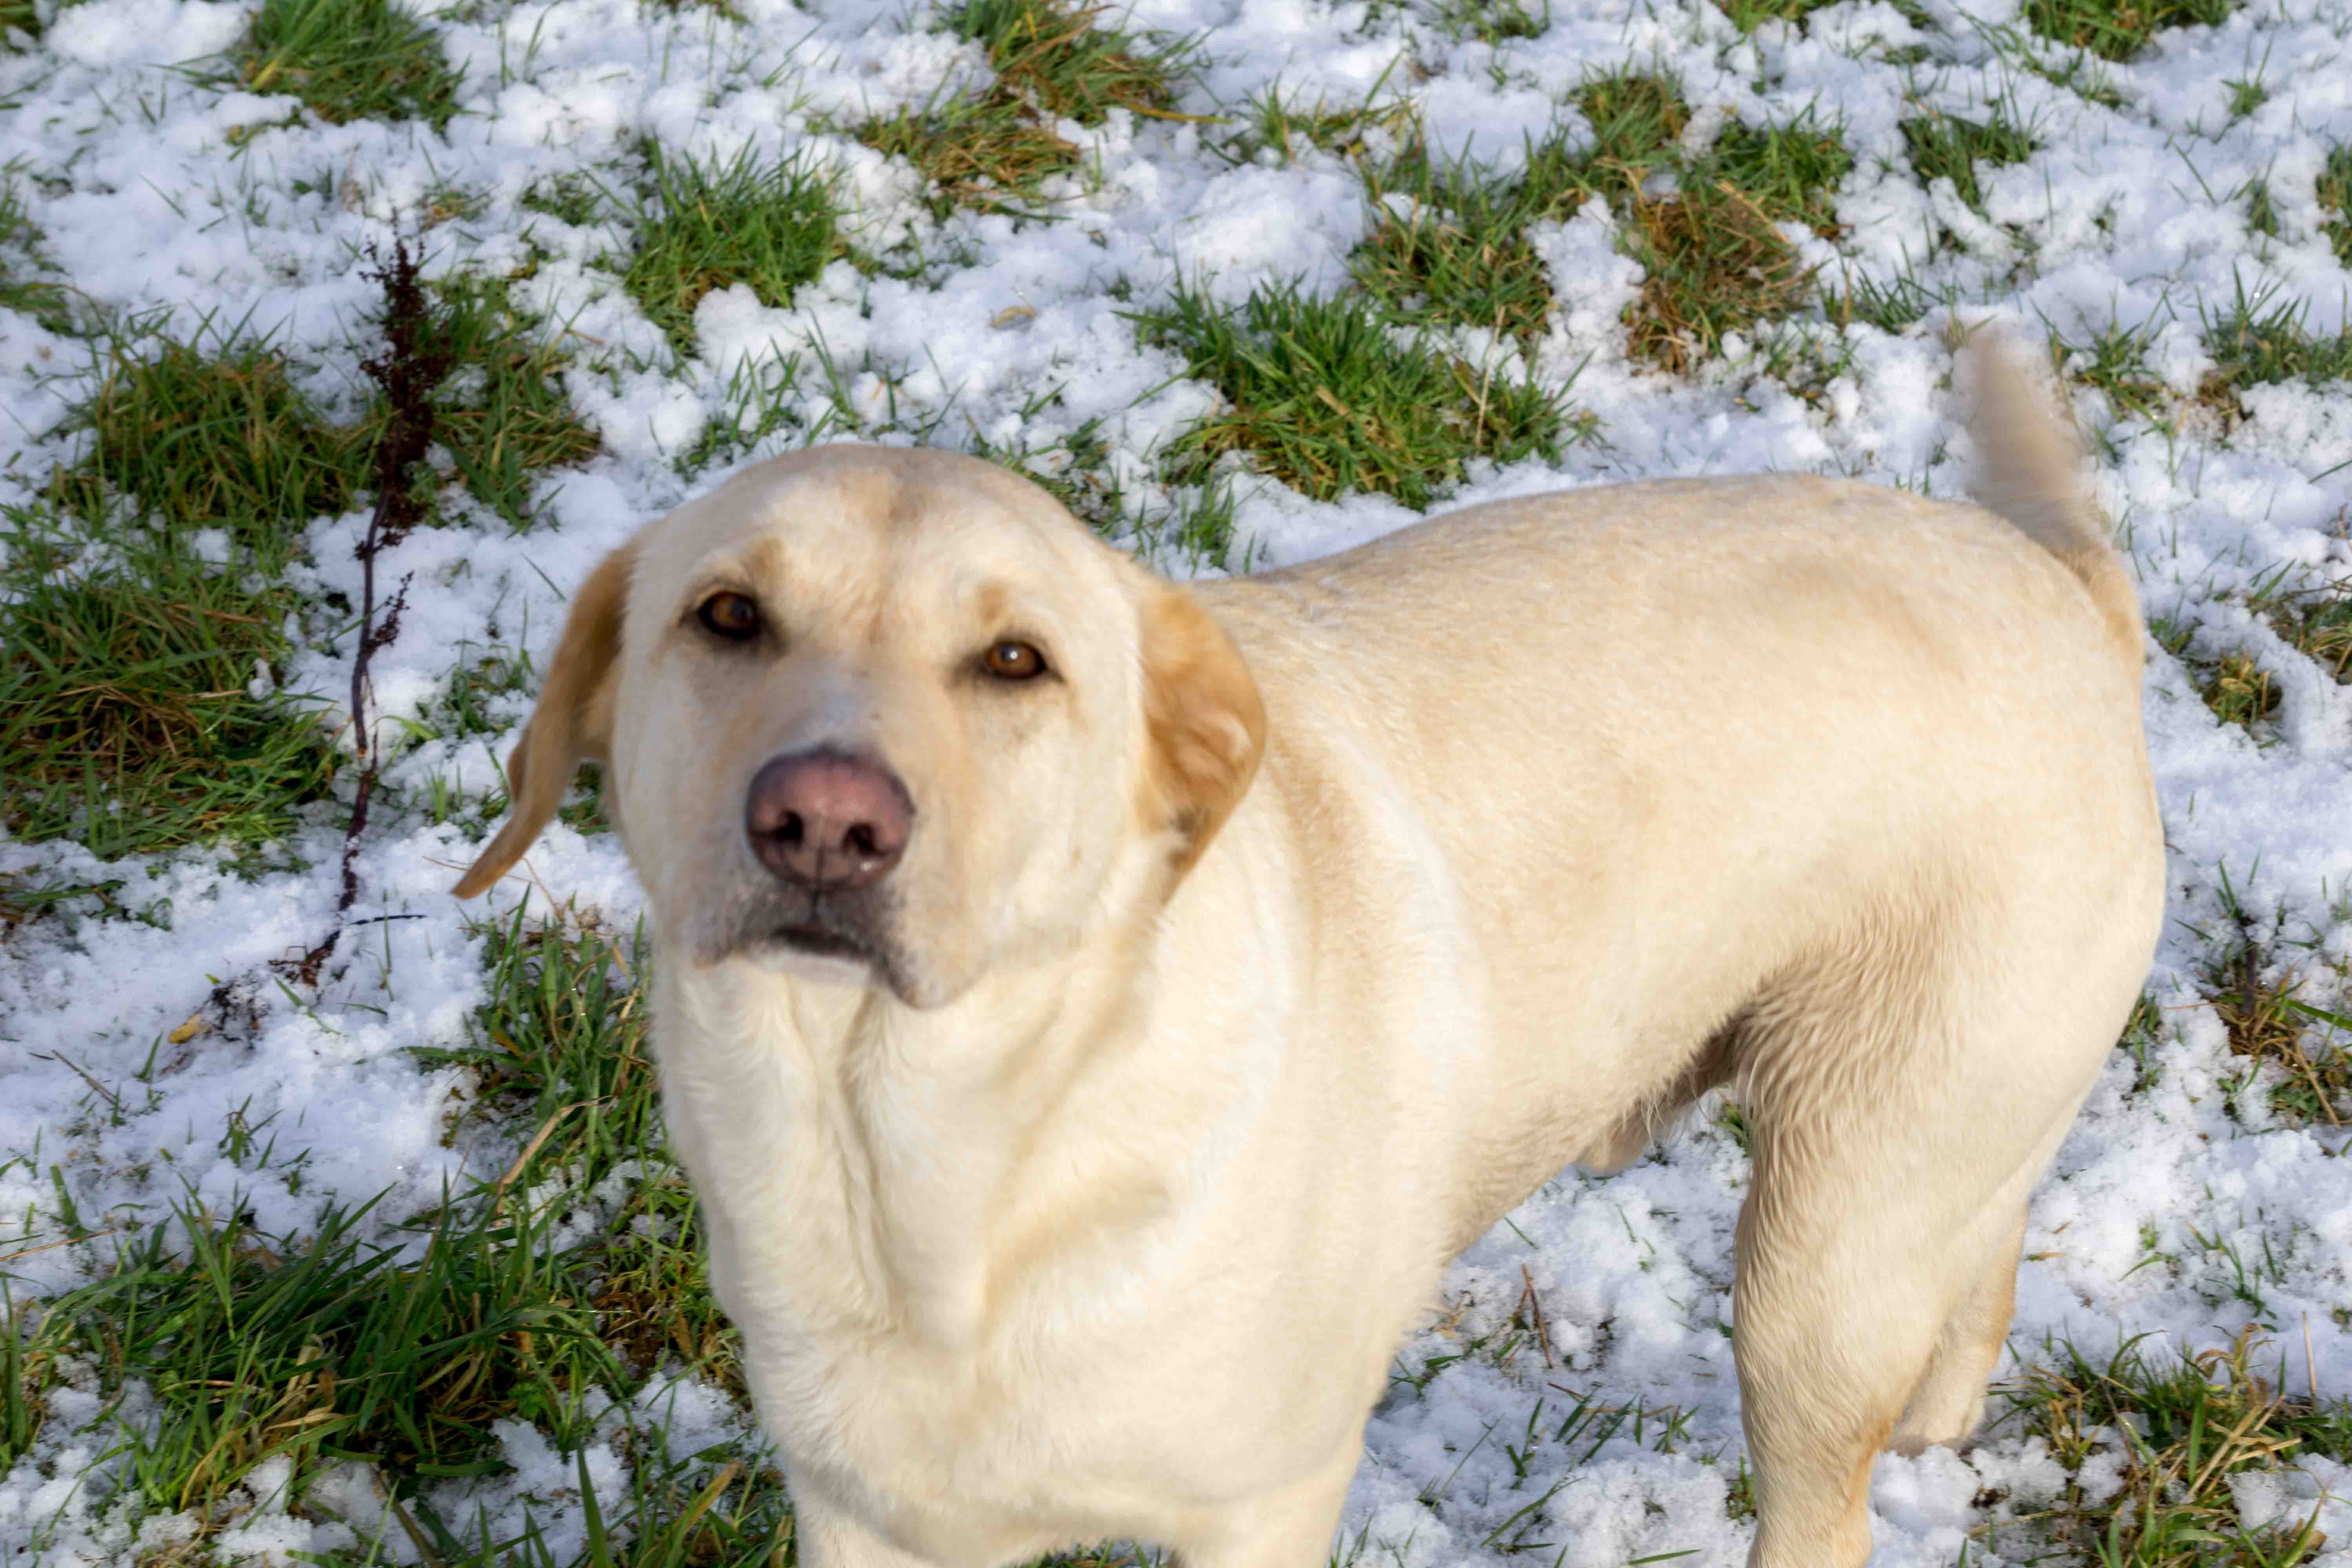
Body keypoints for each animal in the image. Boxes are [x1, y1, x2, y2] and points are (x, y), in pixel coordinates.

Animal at [459, 350, 2164, 1568]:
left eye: (1017, 662)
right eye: (727, 616)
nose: (825, 821)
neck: (939, 1169)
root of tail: (2073, 598)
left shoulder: (1263, 1502)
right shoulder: (868, 1518)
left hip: (1818, 1254)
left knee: (1830, 1486)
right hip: (1931, 1148)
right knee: (1988, 1243)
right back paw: (1941, 1418)